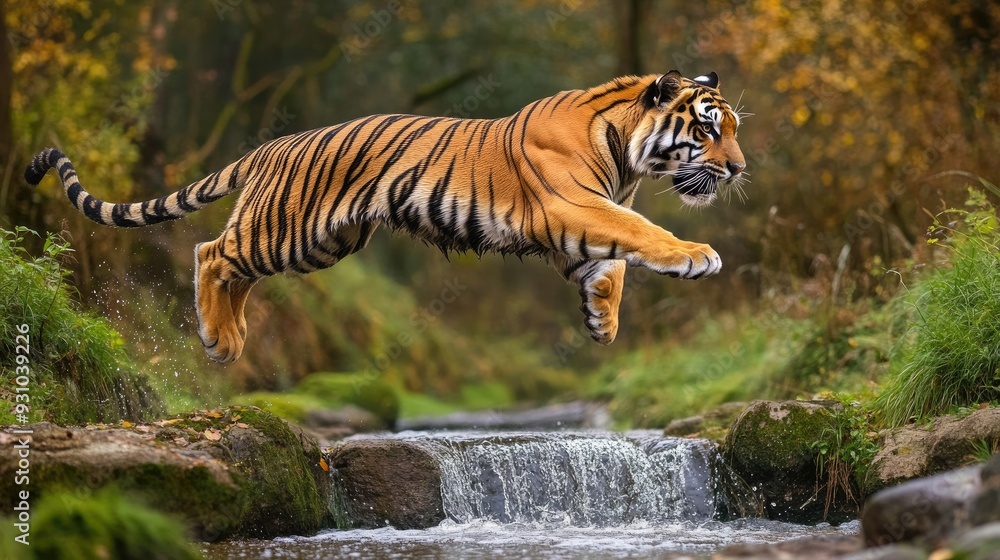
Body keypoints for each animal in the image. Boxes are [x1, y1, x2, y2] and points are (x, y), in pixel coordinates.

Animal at [25, 70, 747, 364]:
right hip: (287, 230)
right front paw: (695, 256)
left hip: (321, 243)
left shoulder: (581, 221)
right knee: (211, 253)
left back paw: (230, 337)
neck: (628, 157)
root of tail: (269, 147)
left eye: (734, 129)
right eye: (709, 130)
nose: (740, 169)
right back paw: (219, 339)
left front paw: (601, 320)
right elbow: (641, 234)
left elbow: (613, 264)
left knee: (233, 268)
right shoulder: (574, 204)